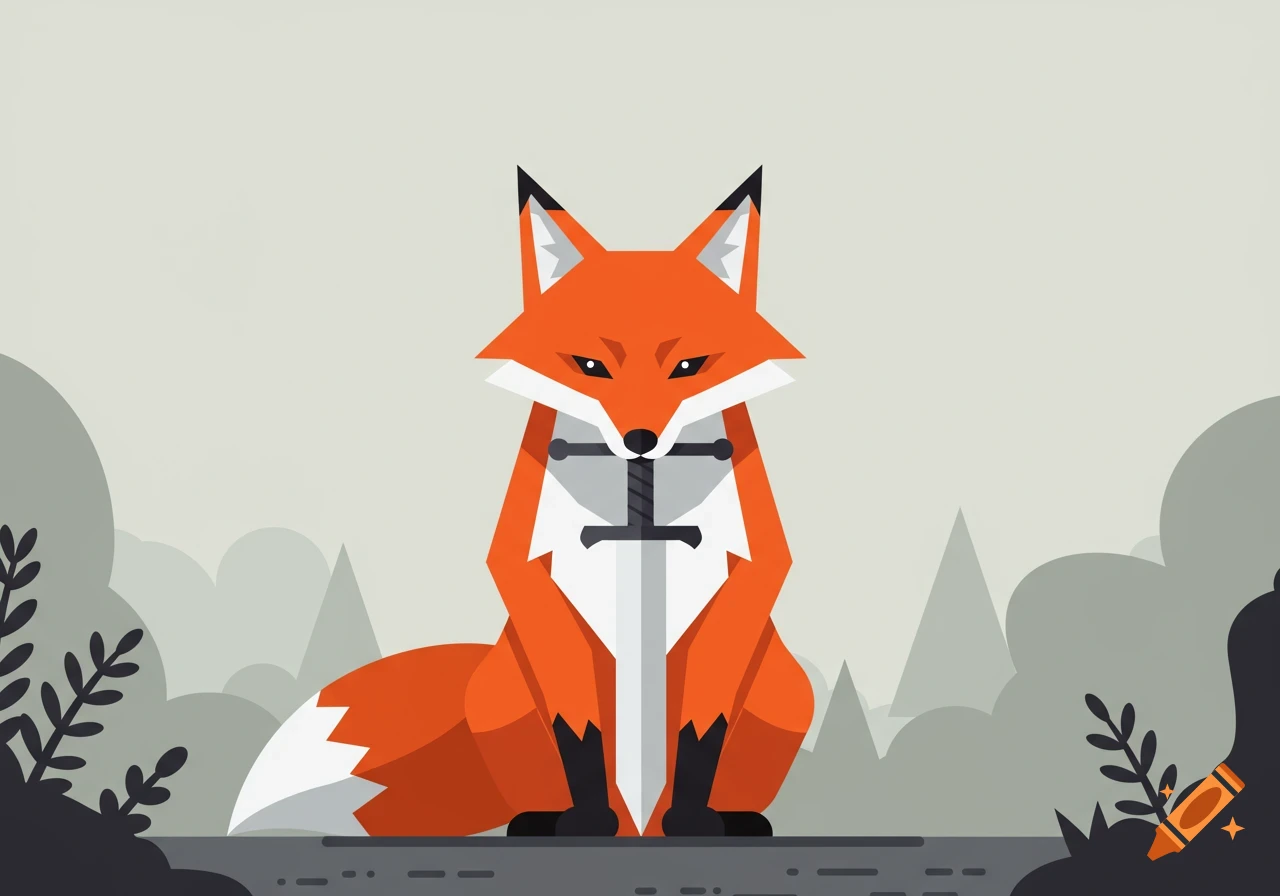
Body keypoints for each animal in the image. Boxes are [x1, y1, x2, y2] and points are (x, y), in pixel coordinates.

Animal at [227, 166, 812, 839]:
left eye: (689, 366)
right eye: (590, 366)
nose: (640, 440)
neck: (639, 501)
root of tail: (639, 823)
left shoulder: (758, 564)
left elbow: (702, 721)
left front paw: (692, 820)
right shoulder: (520, 562)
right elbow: (576, 725)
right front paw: (586, 818)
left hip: (786, 691)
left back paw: (729, 817)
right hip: (497, 693)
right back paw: (545, 818)